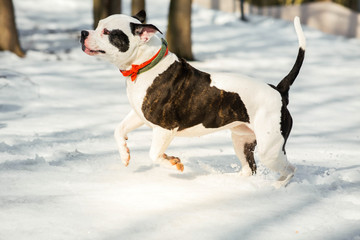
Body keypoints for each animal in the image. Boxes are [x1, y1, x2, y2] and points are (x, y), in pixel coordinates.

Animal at [80, 10, 306, 188]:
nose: (83, 33)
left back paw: (277, 187)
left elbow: (154, 155)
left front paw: (172, 162)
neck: (144, 65)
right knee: (249, 169)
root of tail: (278, 90)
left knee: (290, 169)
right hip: (242, 140)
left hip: (270, 149)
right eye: (98, 25)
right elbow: (118, 130)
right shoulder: (139, 114)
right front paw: (125, 154)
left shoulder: (165, 128)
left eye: (107, 32)